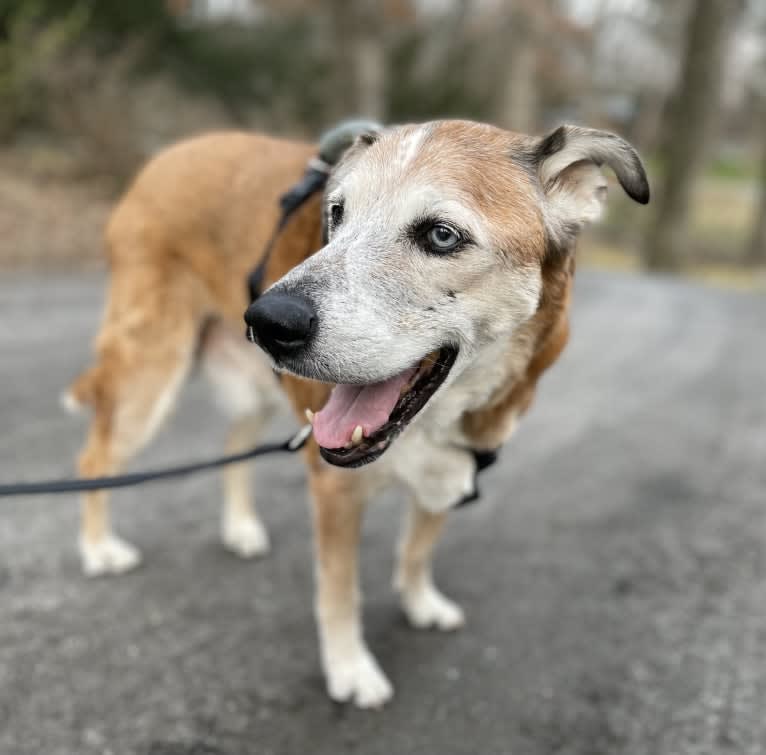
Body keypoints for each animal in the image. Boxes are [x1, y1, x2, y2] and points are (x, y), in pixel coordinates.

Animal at [69, 119, 652, 708]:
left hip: (249, 386)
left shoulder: (449, 470)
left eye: (442, 236)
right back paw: (99, 550)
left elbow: (417, 548)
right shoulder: (335, 489)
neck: (436, 421)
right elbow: (340, 591)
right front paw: (350, 670)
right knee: (94, 460)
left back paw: (240, 529)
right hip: (151, 376)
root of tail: (169, 154)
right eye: (337, 214)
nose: (268, 321)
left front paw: (420, 604)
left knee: (234, 441)